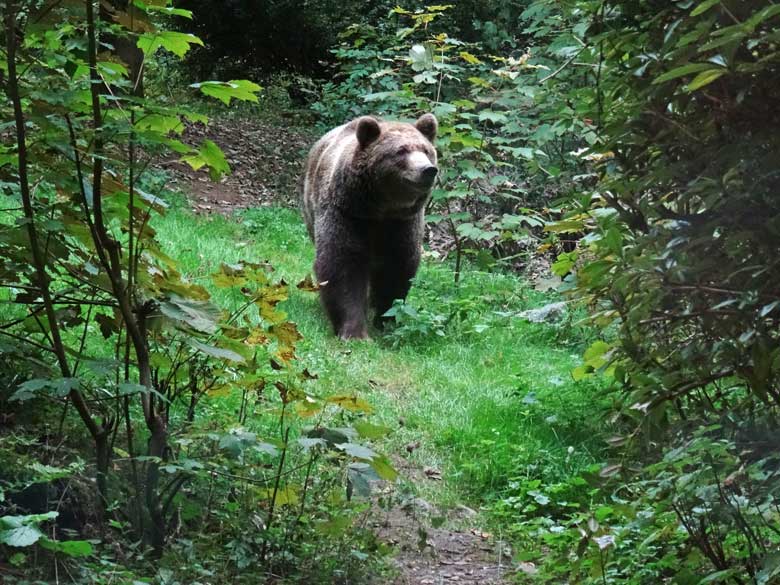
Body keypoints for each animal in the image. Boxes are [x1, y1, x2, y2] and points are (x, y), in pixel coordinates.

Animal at [300, 113, 438, 338]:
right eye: (401, 150)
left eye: (426, 150)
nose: (428, 170)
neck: (380, 209)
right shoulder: (346, 214)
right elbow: (342, 264)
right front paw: (354, 332)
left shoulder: (402, 223)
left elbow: (396, 266)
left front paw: (385, 321)